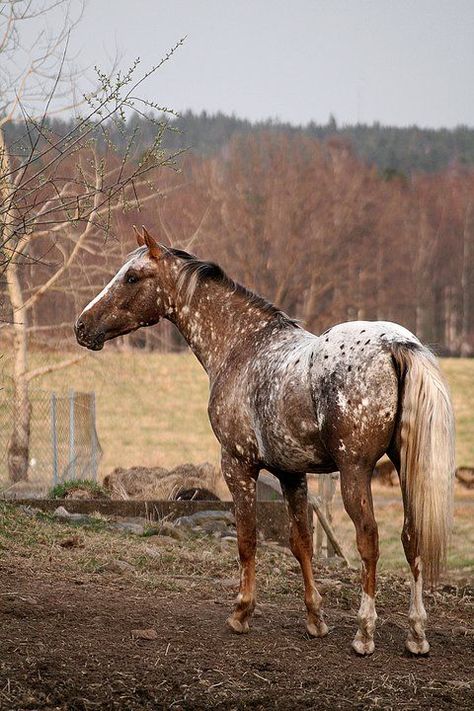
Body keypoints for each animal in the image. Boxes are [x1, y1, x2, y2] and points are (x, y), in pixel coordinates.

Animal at [74, 227, 456, 656]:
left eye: (132, 277)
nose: (82, 326)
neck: (242, 346)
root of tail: (396, 344)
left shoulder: (237, 466)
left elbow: (246, 538)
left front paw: (242, 612)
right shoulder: (292, 473)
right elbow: (301, 542)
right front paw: (315, 619)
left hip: (354, 472)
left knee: (369, 539)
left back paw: (364, 632)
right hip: (406, 469)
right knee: (411, 537)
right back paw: (417, 634)